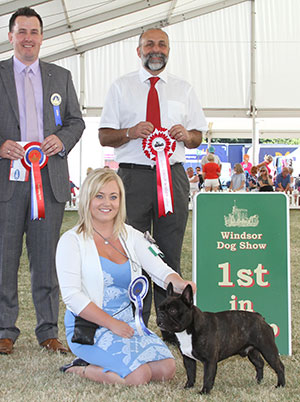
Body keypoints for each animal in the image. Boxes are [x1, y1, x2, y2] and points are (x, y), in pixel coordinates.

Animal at [157, 284, 286, 394]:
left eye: (172, 310)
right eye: (159, 309)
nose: (160, 315)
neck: (189, 330)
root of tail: (261, 318)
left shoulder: (209, 361)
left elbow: (207, 377)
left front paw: (204, 392)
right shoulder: (188, 359)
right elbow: (191, 373)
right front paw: (188, 387)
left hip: (268, 349)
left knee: (279, 366)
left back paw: (280, 385)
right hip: (252, 352)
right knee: (259, 364)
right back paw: (258, 381)